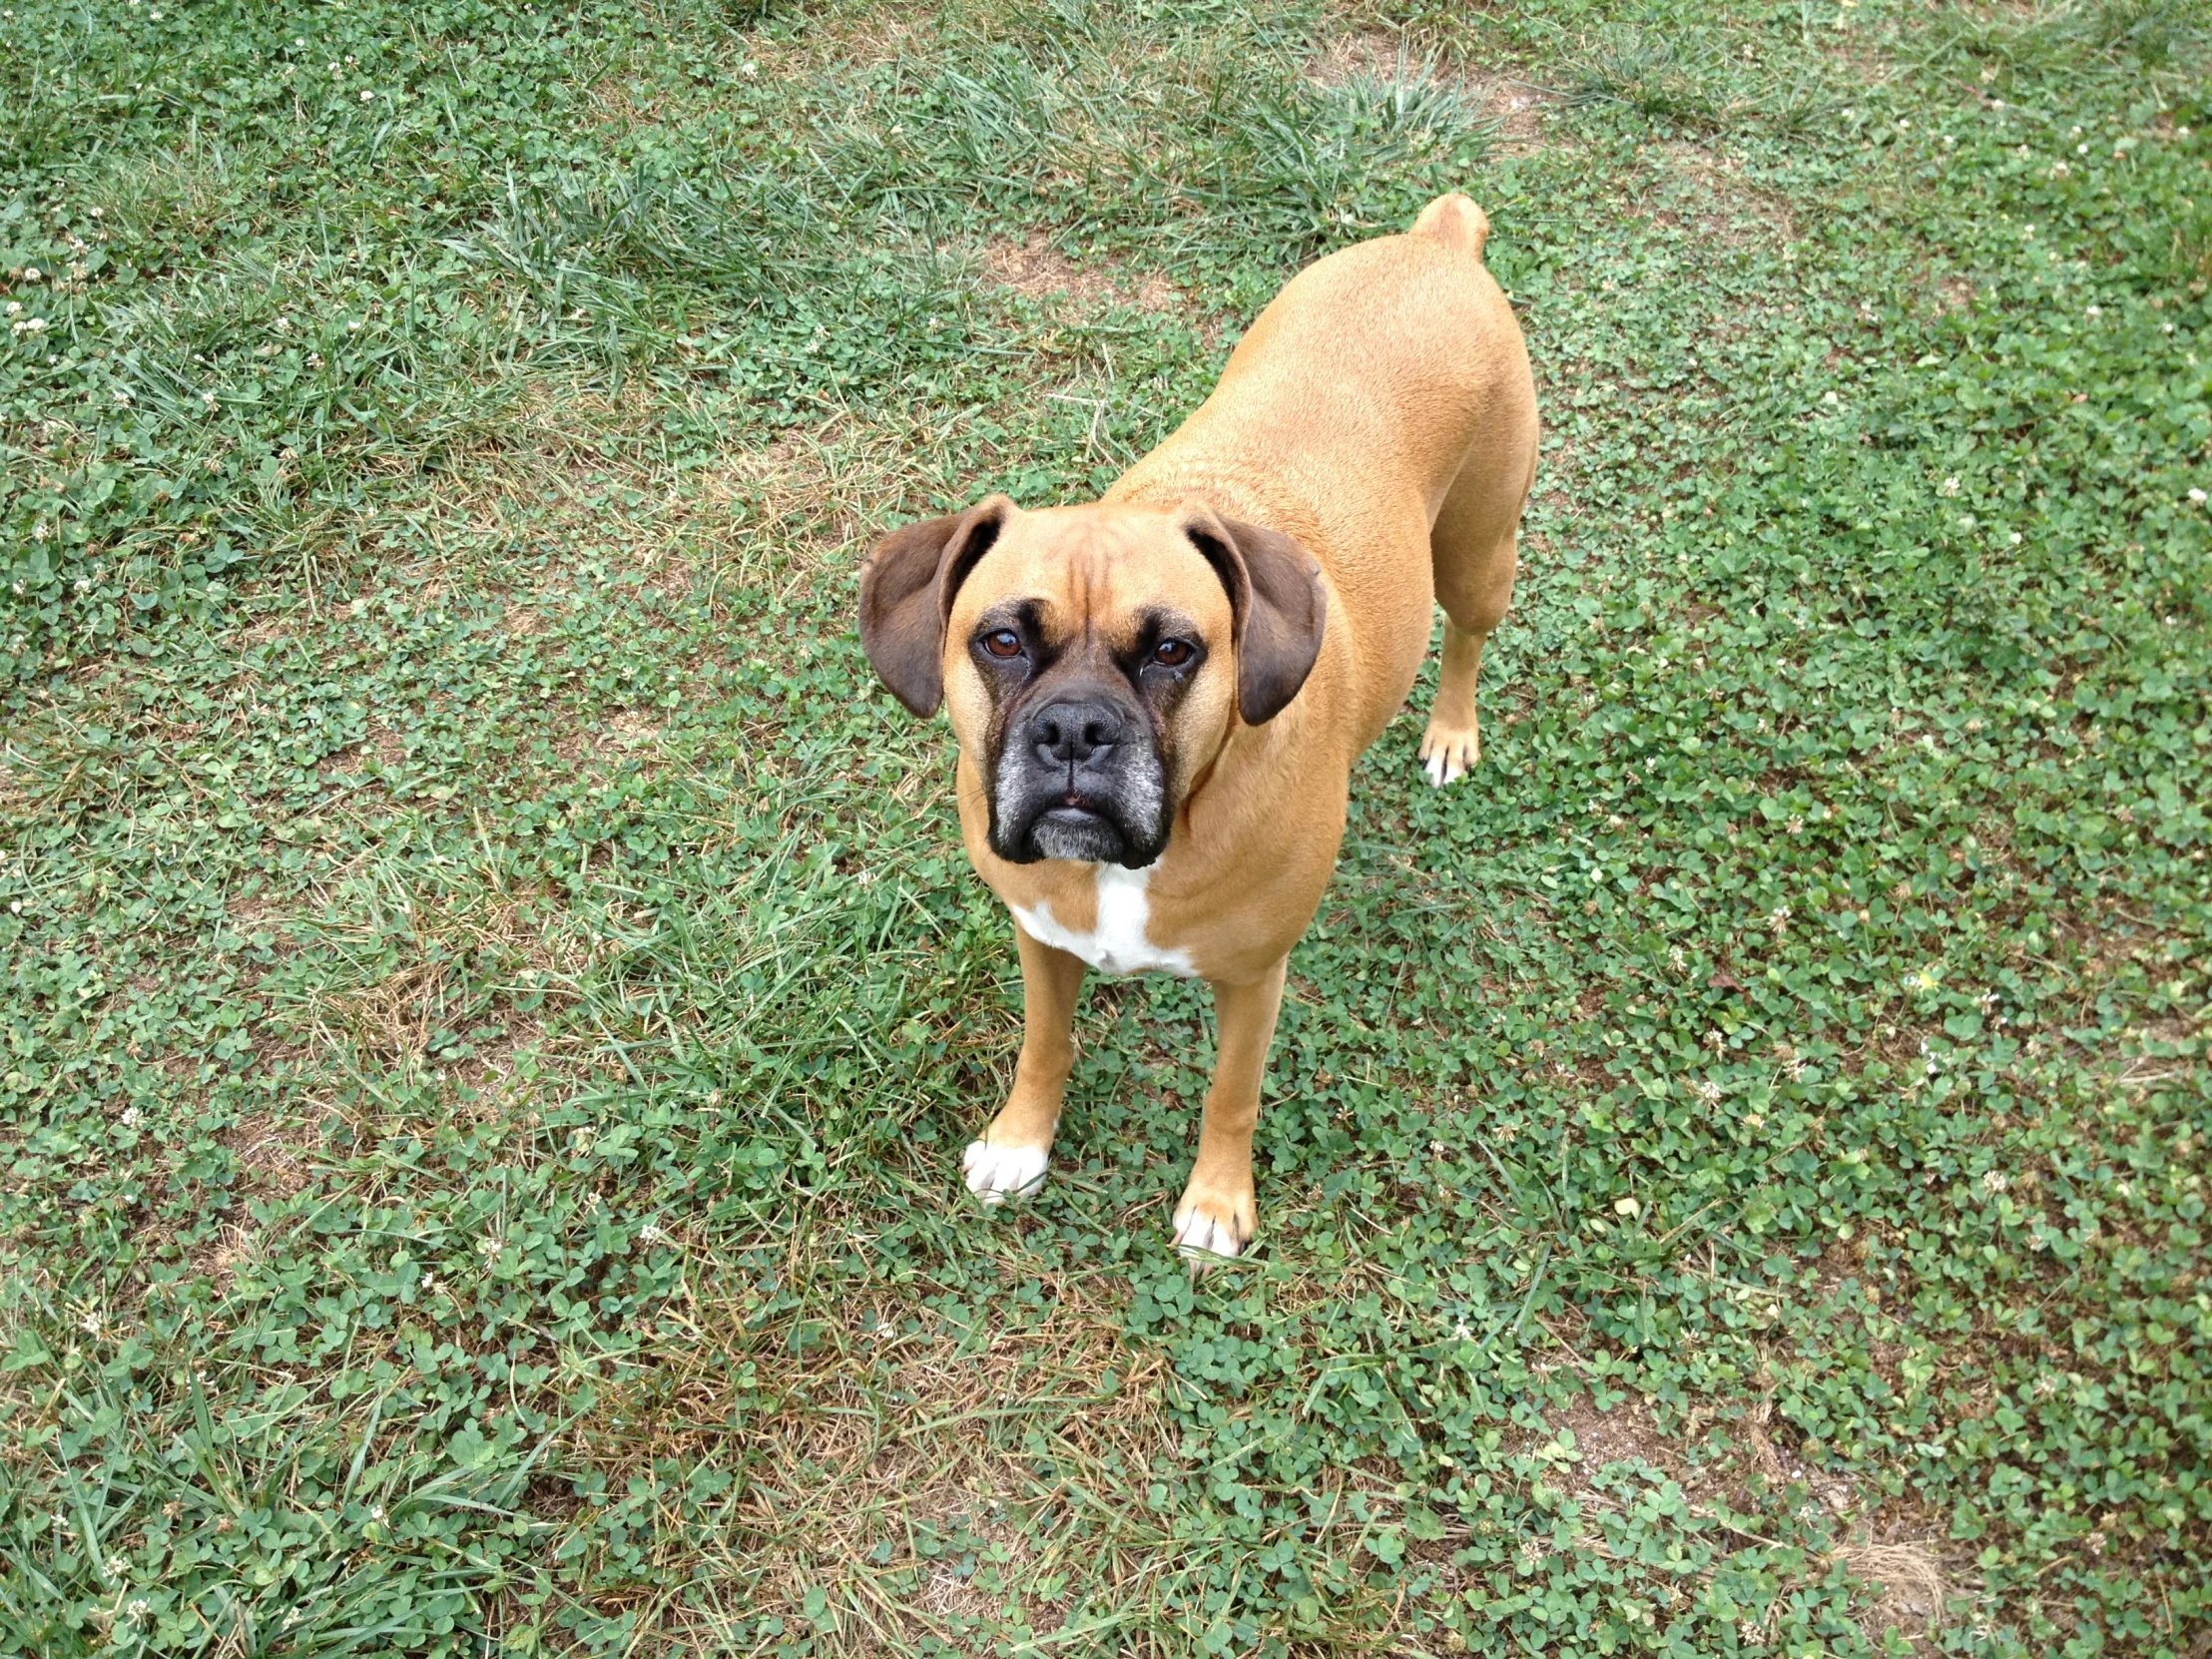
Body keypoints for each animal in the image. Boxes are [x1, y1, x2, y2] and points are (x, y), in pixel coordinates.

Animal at [853, 191, 1530, 1256]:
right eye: (1001, 641)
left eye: (1174, 651)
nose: (1075, 730)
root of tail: (1438, 242)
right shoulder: (1041, 939)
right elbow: (1044, 1046)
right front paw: (1021, 1142)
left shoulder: (1254, 981)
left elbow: (1232, 1095)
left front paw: (1216, 1201)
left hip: (1479, 552)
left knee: (1466, 636)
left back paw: (1451, 733)